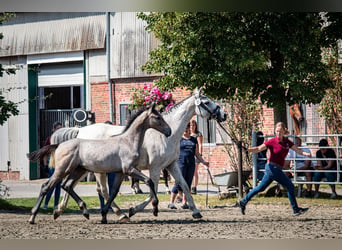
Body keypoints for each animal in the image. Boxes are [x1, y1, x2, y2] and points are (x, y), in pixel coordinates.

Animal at [26, 104, 171, 226]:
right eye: (158, 117)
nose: (169, 131)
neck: (128, 142)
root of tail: (58, 145)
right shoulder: (129, 170)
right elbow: (149, 181)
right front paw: (155, 208)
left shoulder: (120, 172)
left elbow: (113, 192)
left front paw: (105, 215)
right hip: (62, 170)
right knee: (46, 187)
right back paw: (32, 217)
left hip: (78, 170)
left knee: (67, 186)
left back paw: (84, 211)